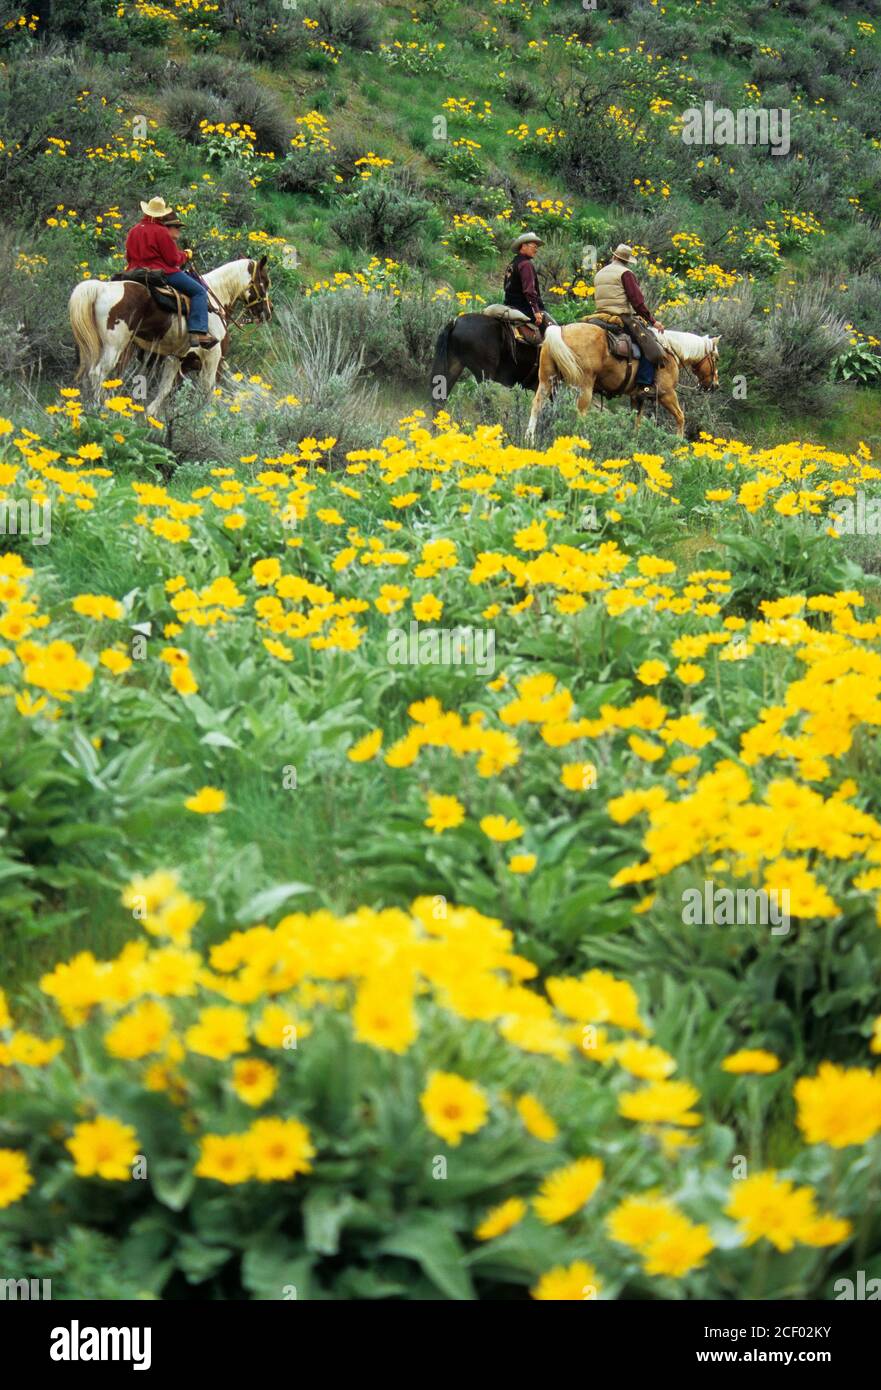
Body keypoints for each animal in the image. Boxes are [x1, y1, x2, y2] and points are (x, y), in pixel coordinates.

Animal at [69, 255, 270, 414]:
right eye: (265, 282)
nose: (268, 312)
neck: (214, 300)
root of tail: (102, 287)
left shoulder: (176, 357)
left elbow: (165, 389)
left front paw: (151, 415)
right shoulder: (214, 357)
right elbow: (207, 390)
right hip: (114, 347)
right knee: (98, 374)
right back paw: (101, 407)